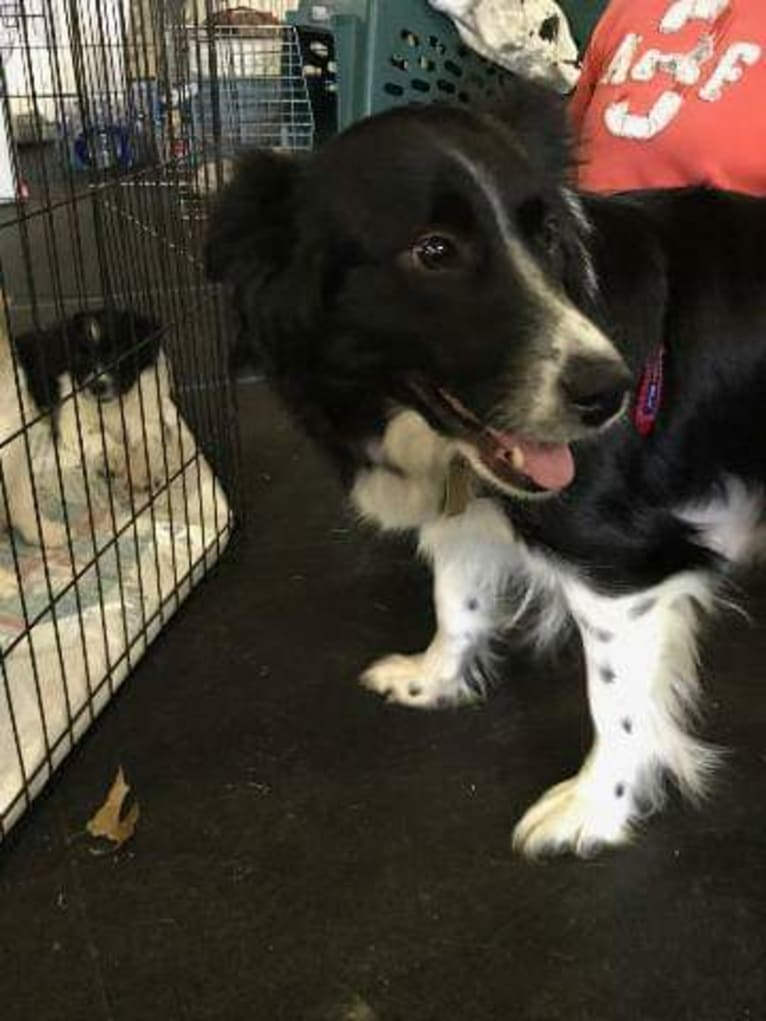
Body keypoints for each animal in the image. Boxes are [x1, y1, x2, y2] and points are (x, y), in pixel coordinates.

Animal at [0, 304, 182, 575]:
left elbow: (148, 441)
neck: (114, 406)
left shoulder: (149, 412)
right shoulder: (71, 425)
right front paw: (114, 459)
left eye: (116, 352)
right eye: (81, 356)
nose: (97, 386)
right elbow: (102, 438)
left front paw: (141, 471)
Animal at [207, 83, 766, 857]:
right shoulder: (465, 502)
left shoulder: (624, 559)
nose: (612, 394)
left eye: (548, 234)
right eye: (433, 250)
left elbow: (615, 697)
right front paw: (434, 677)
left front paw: (596, 805)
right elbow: (457, 596)